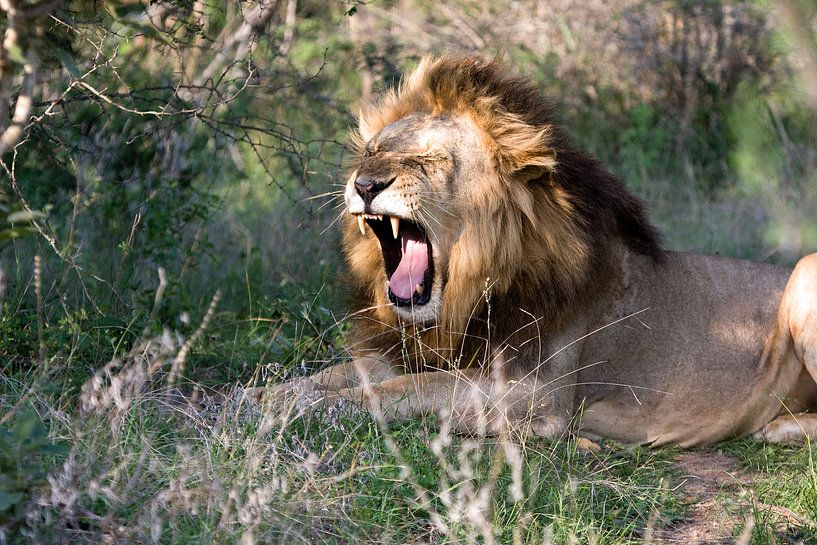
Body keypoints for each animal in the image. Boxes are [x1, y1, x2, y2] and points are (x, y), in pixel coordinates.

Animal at [270, 55, 816, 446]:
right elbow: (337, 376)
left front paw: (294, 412)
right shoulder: (415, 352)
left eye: (429, 158)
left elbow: (401, 390)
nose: (364, 185)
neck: (466, 296)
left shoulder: (538, 394)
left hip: (806, 273)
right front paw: (264, 399)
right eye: (371, 152)